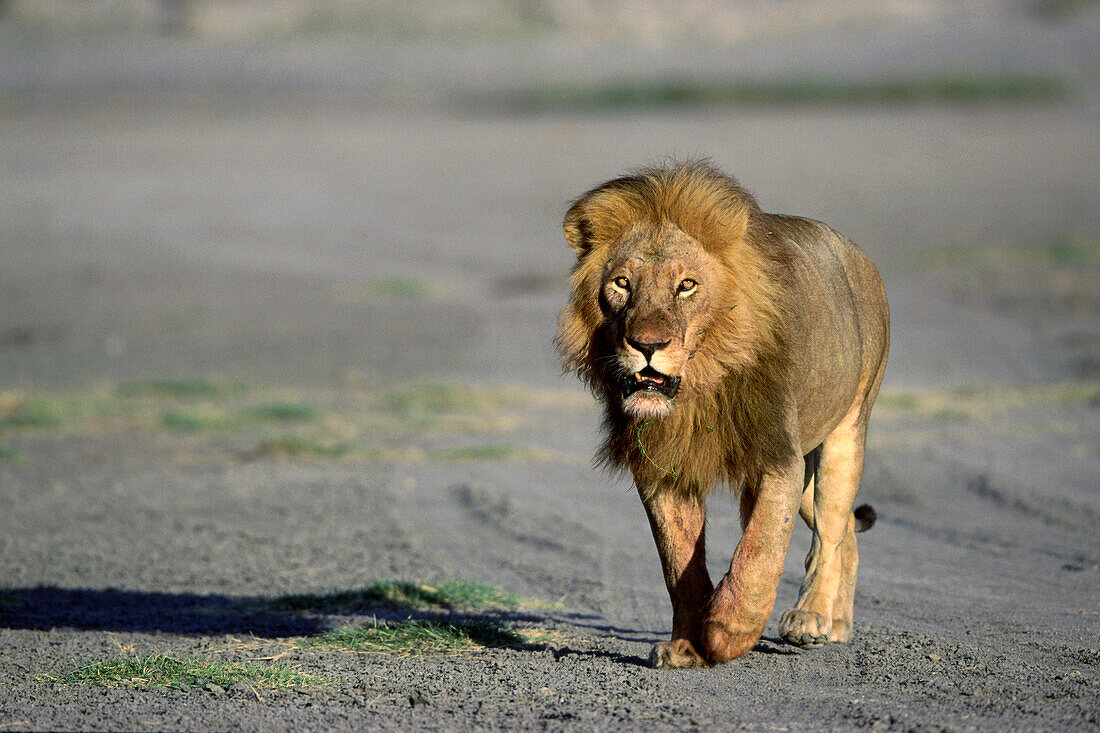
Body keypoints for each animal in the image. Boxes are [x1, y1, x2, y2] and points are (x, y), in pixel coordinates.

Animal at [554, 159, 888, 669]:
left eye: (686, 285)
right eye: (622, 283)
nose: (648, 344)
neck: (699, 388)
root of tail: (859, 255)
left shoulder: (777, 456)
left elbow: (760, 550)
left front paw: (726, 631)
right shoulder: (664, 469)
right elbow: (679, 565)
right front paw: (686, 646)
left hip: (847, 430)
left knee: (831, 530)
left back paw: (810, 618)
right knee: (848, 530)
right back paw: (838, 624)